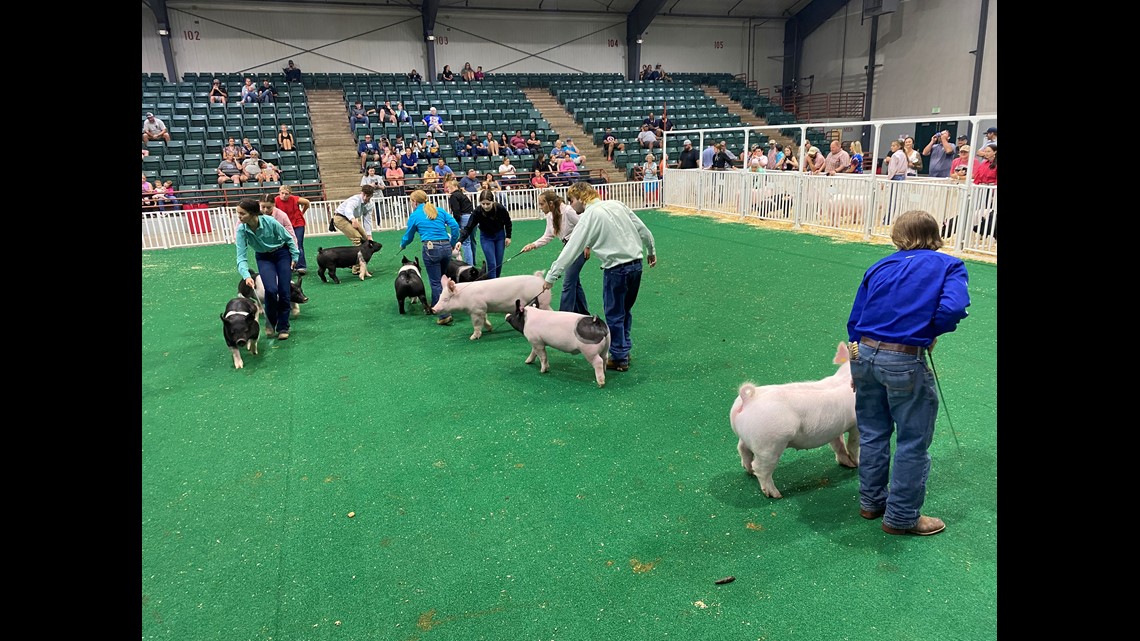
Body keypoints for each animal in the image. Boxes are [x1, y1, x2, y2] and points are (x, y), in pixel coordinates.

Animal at [729, 342, 857, 497]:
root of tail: (748, 399)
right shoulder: (855, 424)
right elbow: (853, 444)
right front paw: (856, 465)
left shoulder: (835, 428)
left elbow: (838, 444)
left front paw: (846, 463)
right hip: (769, 445)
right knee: (760, 468)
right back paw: (775, 494)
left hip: (749, 438)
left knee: (743, 450)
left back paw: (750, 472)